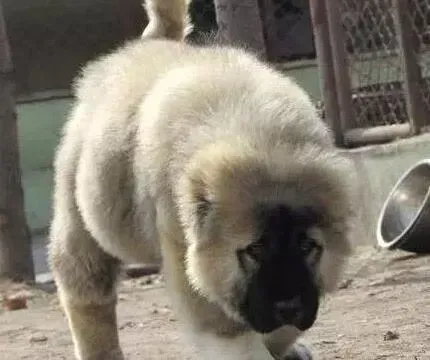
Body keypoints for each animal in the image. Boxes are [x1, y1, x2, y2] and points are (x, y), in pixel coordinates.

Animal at [47, 0, 356, 360]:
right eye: (255, 249)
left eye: (308, 246)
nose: (289, 307)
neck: (259, 138)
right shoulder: (189, 260)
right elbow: (240, 338)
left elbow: (277, 330)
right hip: (86, 220)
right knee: (85, 293)